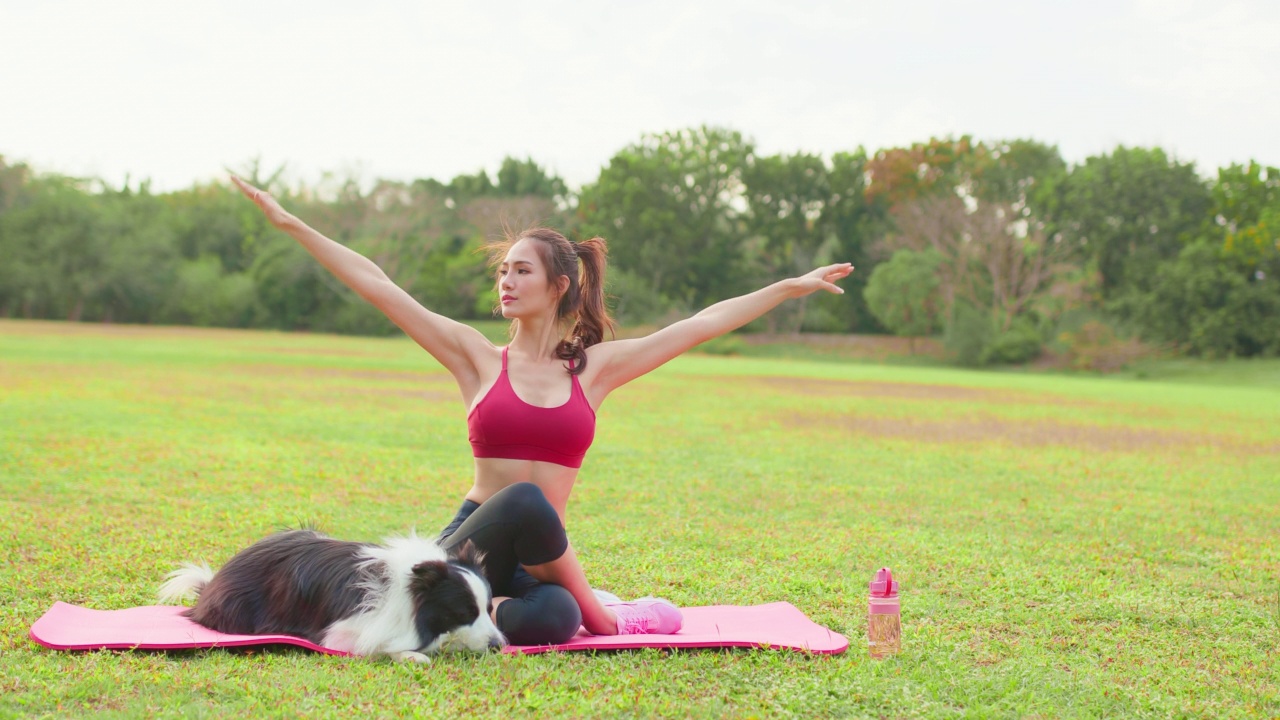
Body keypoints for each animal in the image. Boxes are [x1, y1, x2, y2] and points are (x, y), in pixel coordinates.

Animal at [156, 525, 504, 661]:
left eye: (489, 609)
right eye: (463, 613)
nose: (500, 645)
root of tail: (211, 587)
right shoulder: (341, 633)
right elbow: (379, 645)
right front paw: (412, 654)